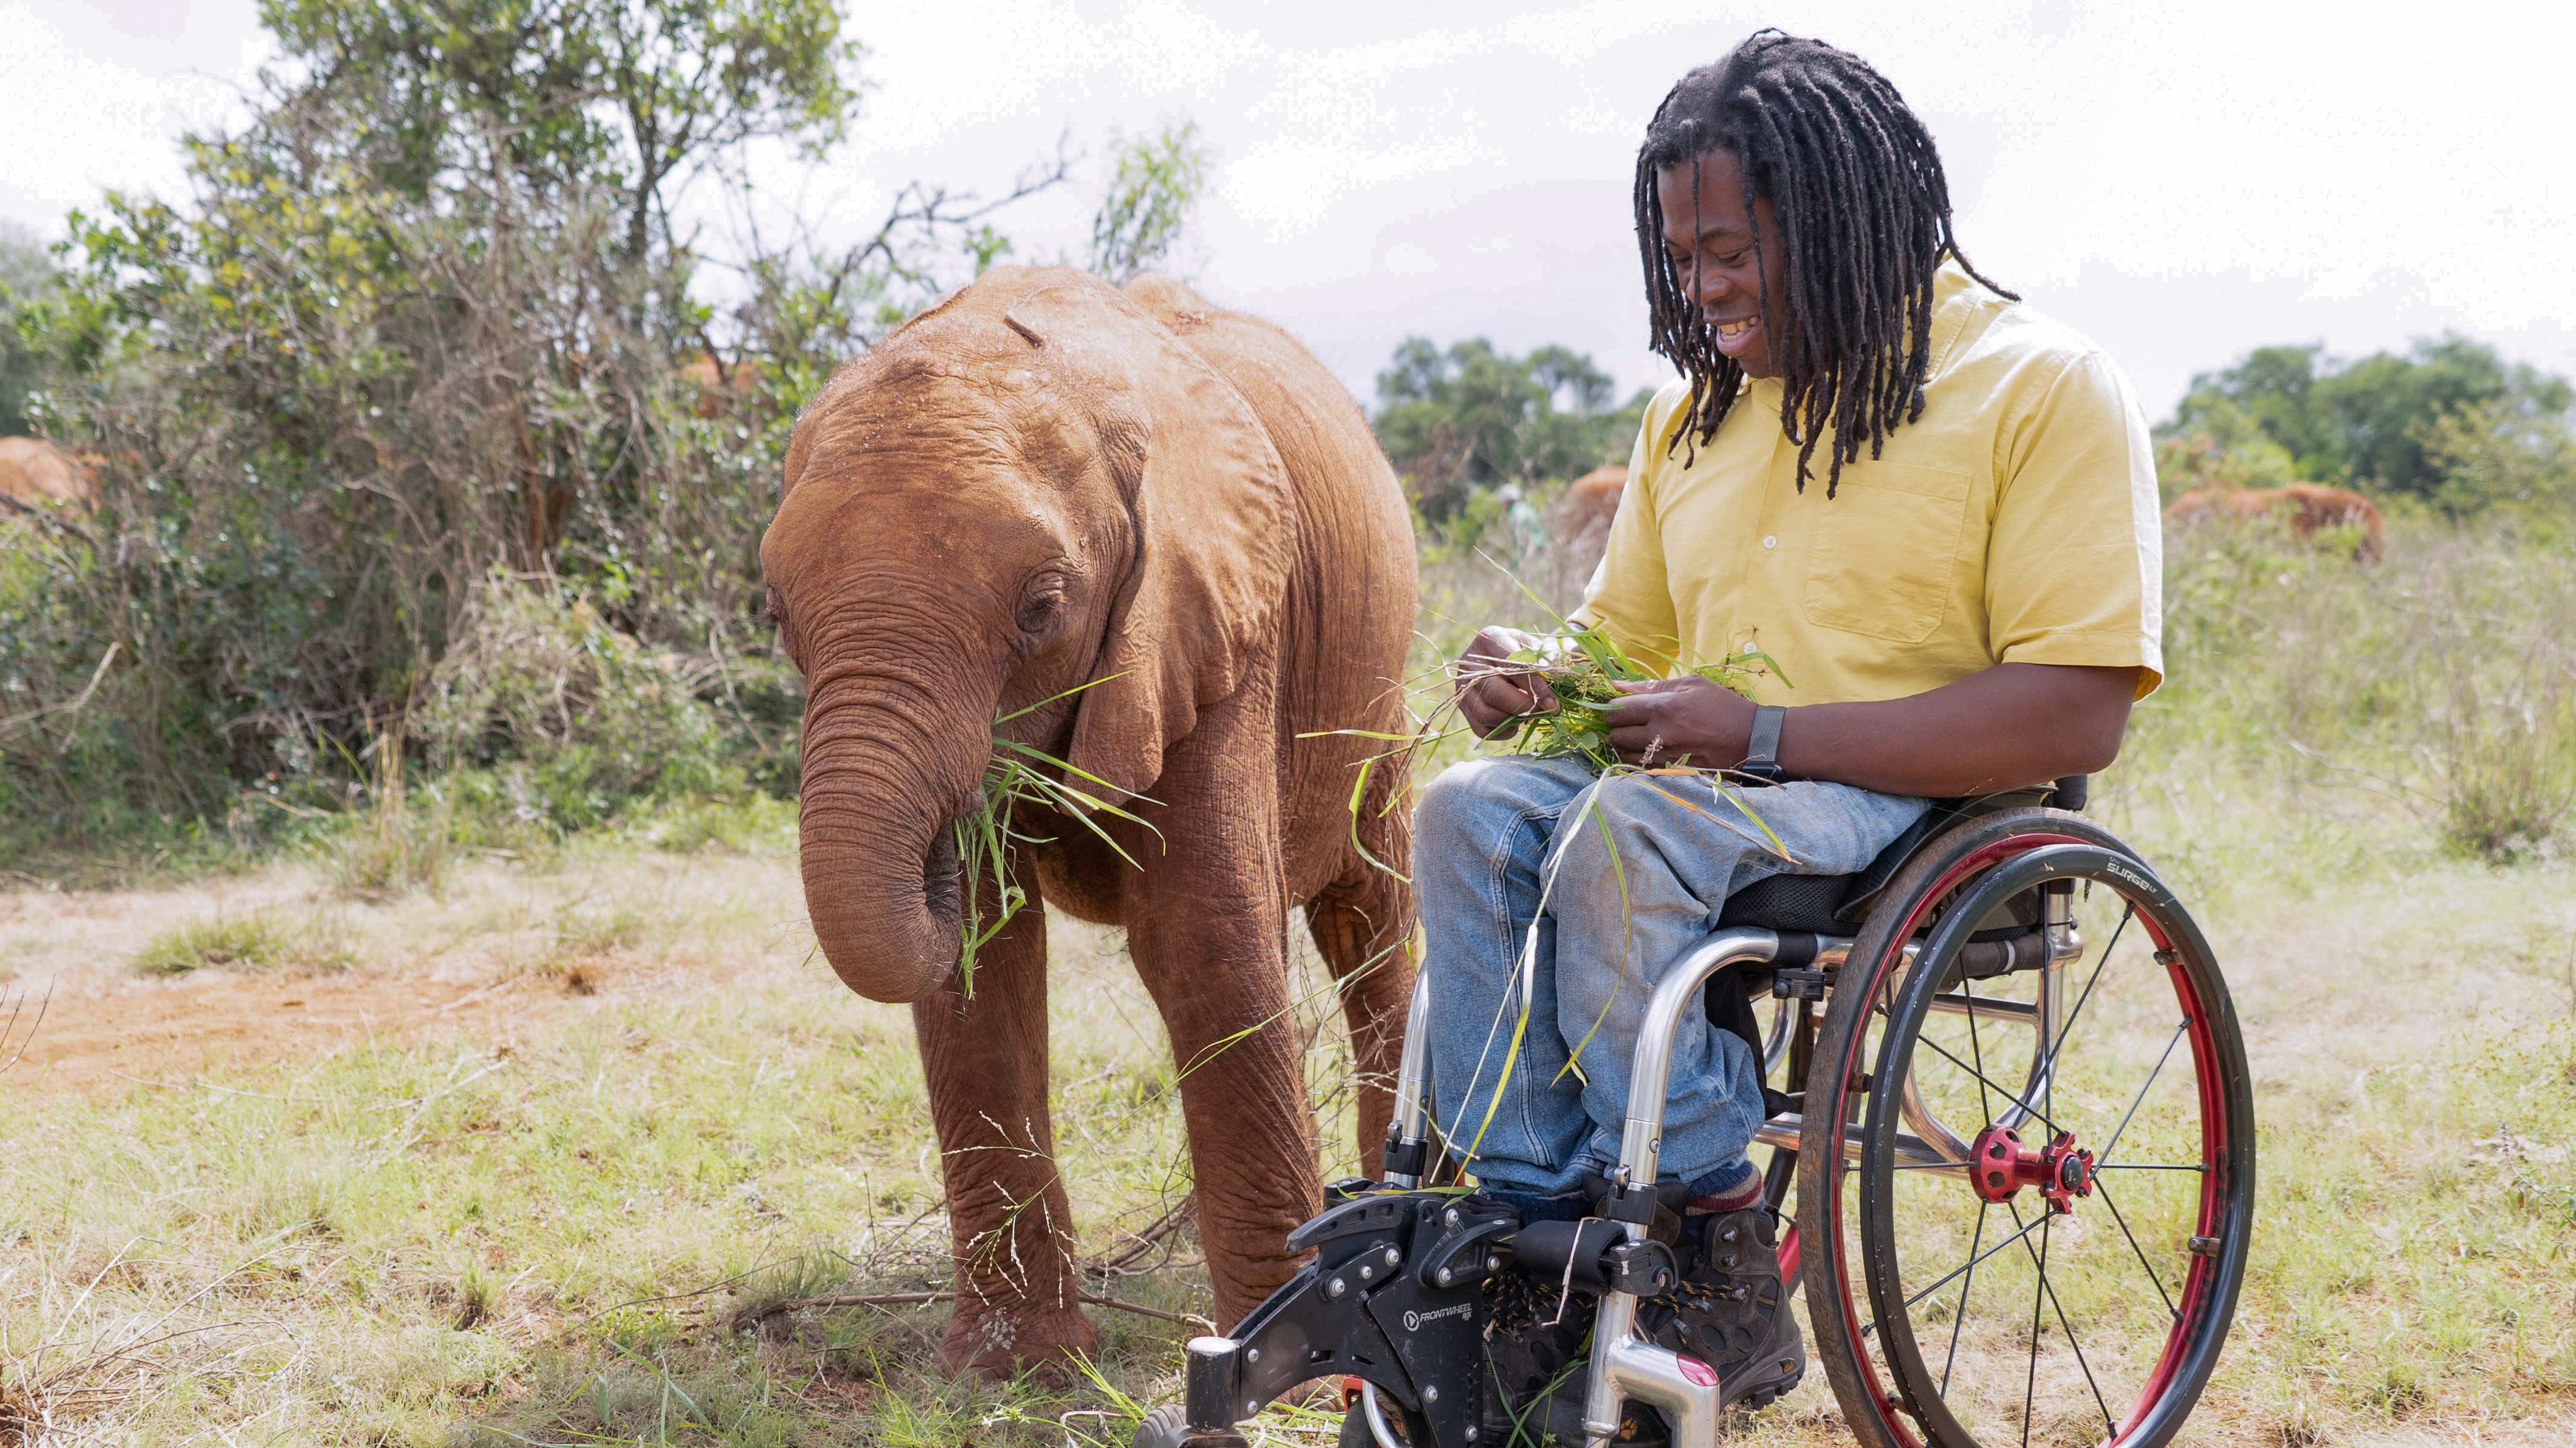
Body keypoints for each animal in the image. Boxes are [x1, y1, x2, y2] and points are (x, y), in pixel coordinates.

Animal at [752, 261, 1422, 1370]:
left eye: (1042, 607)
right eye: (776, 614)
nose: (953, 833)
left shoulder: (1221, 619)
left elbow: (1203, 936)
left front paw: (1284, 1369)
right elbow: (987, 970)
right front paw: (1011, 1366)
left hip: (1376, 691)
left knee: (1372, 916)